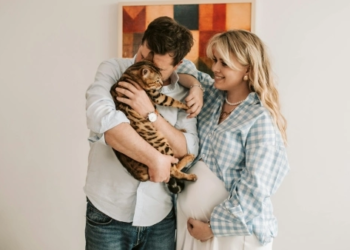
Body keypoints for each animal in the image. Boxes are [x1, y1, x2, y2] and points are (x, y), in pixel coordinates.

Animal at [109, 60, 197, 193]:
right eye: (157, 80)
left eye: (161, 78)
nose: (161, 84)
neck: (130, 73)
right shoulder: (156, 95)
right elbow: (172, 100)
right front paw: (185, 106)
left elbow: (163, 116)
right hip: (162, 145)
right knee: (172, 170)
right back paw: (190, 167)